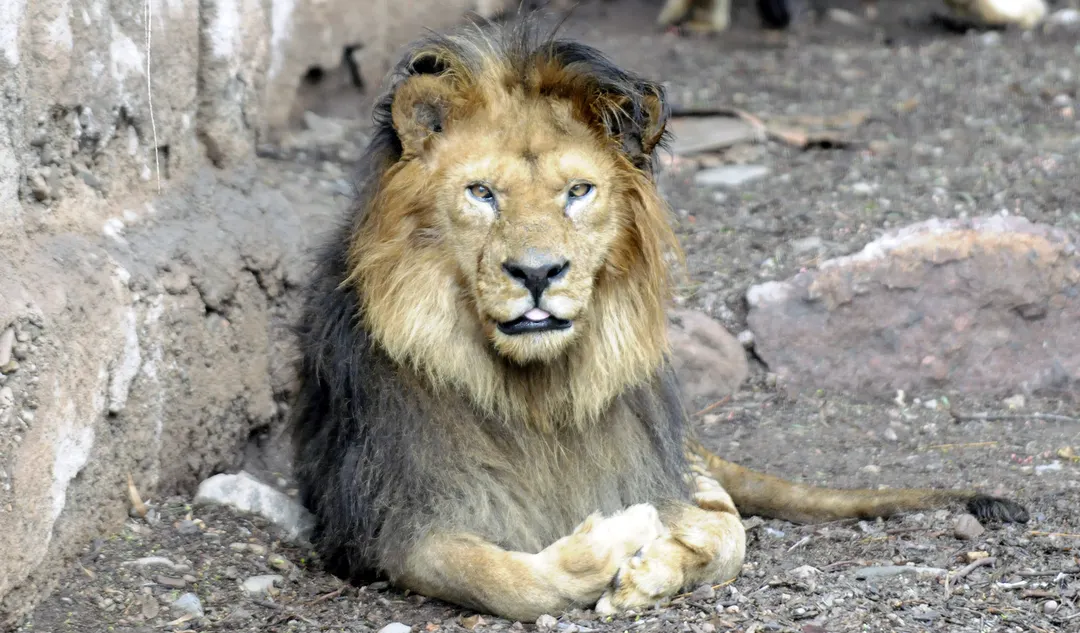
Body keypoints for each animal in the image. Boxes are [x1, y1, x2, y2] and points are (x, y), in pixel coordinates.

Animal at [289, 17, 1028, 622]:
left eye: (578, 191)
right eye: (482, 193)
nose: (537, 273)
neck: (537, 395)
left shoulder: (657, 465)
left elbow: (729, 534)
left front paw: (649, 571)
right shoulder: (396, 521)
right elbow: (508, 579)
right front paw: (617, 537)